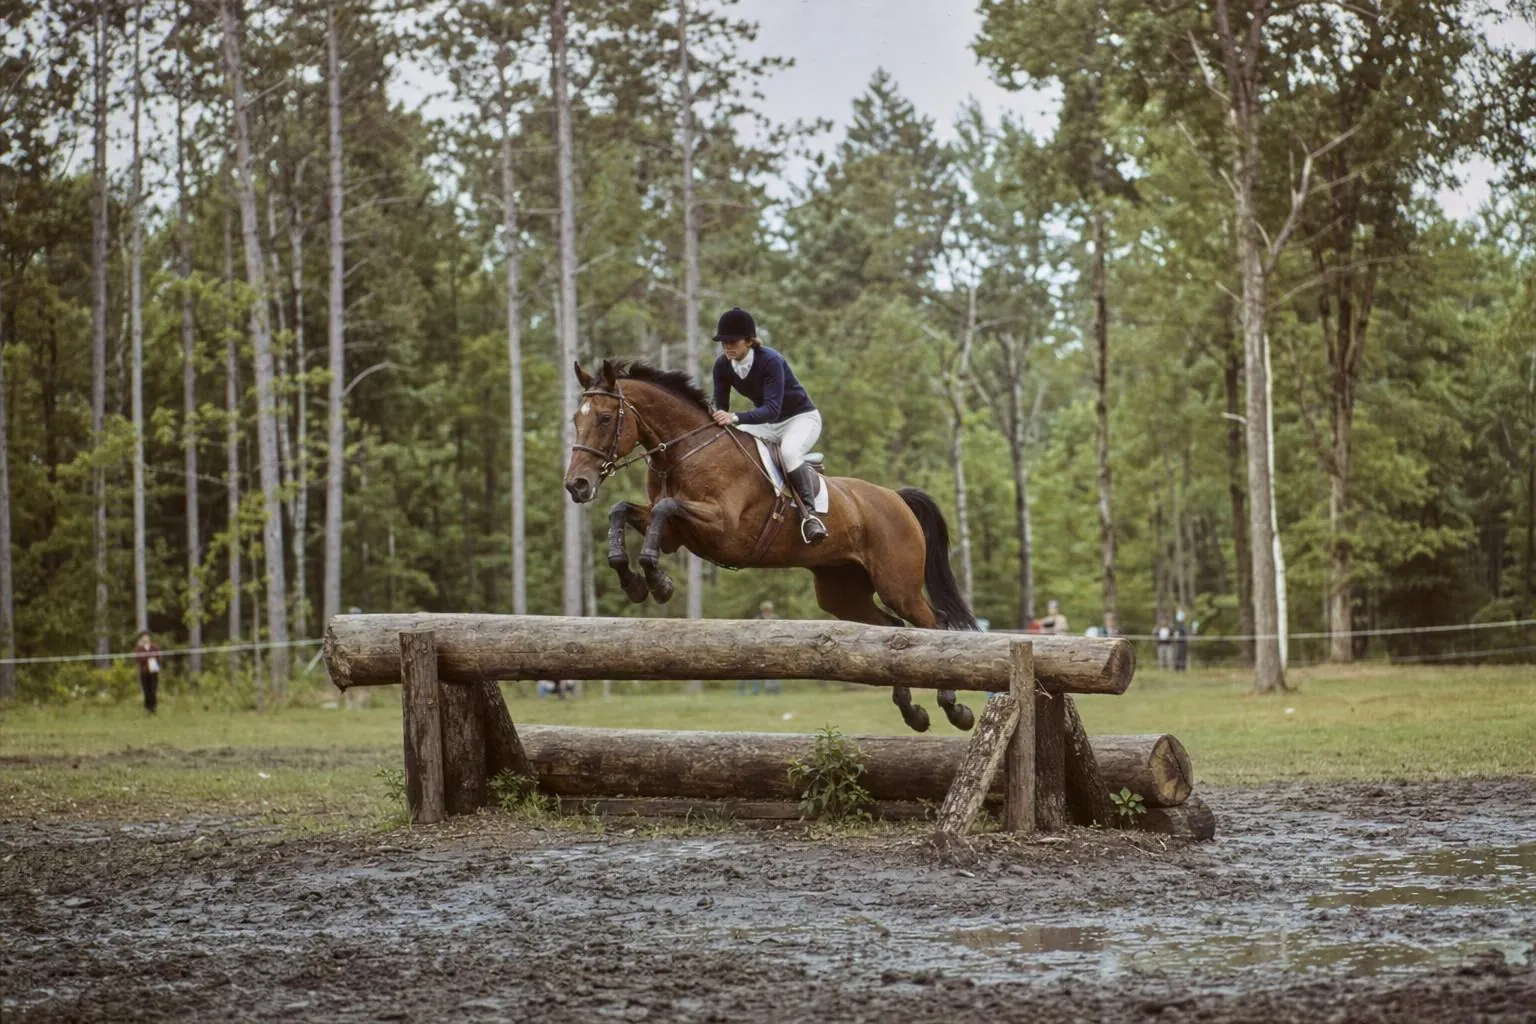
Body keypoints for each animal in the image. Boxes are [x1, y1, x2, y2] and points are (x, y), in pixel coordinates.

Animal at [562, 358, 977, 733]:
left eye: (604, 418)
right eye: (576, 421)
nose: (577, 485)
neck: (685, 452)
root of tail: (895, 497)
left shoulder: (722, 528)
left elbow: (665, 508)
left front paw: (656, 580)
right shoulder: (674, 534)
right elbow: (622, 510)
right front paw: (634, 581)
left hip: (898, 586)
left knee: (933, 623)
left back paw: (954, 708)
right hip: (842, 593)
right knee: (892, 632)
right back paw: (912, 711)